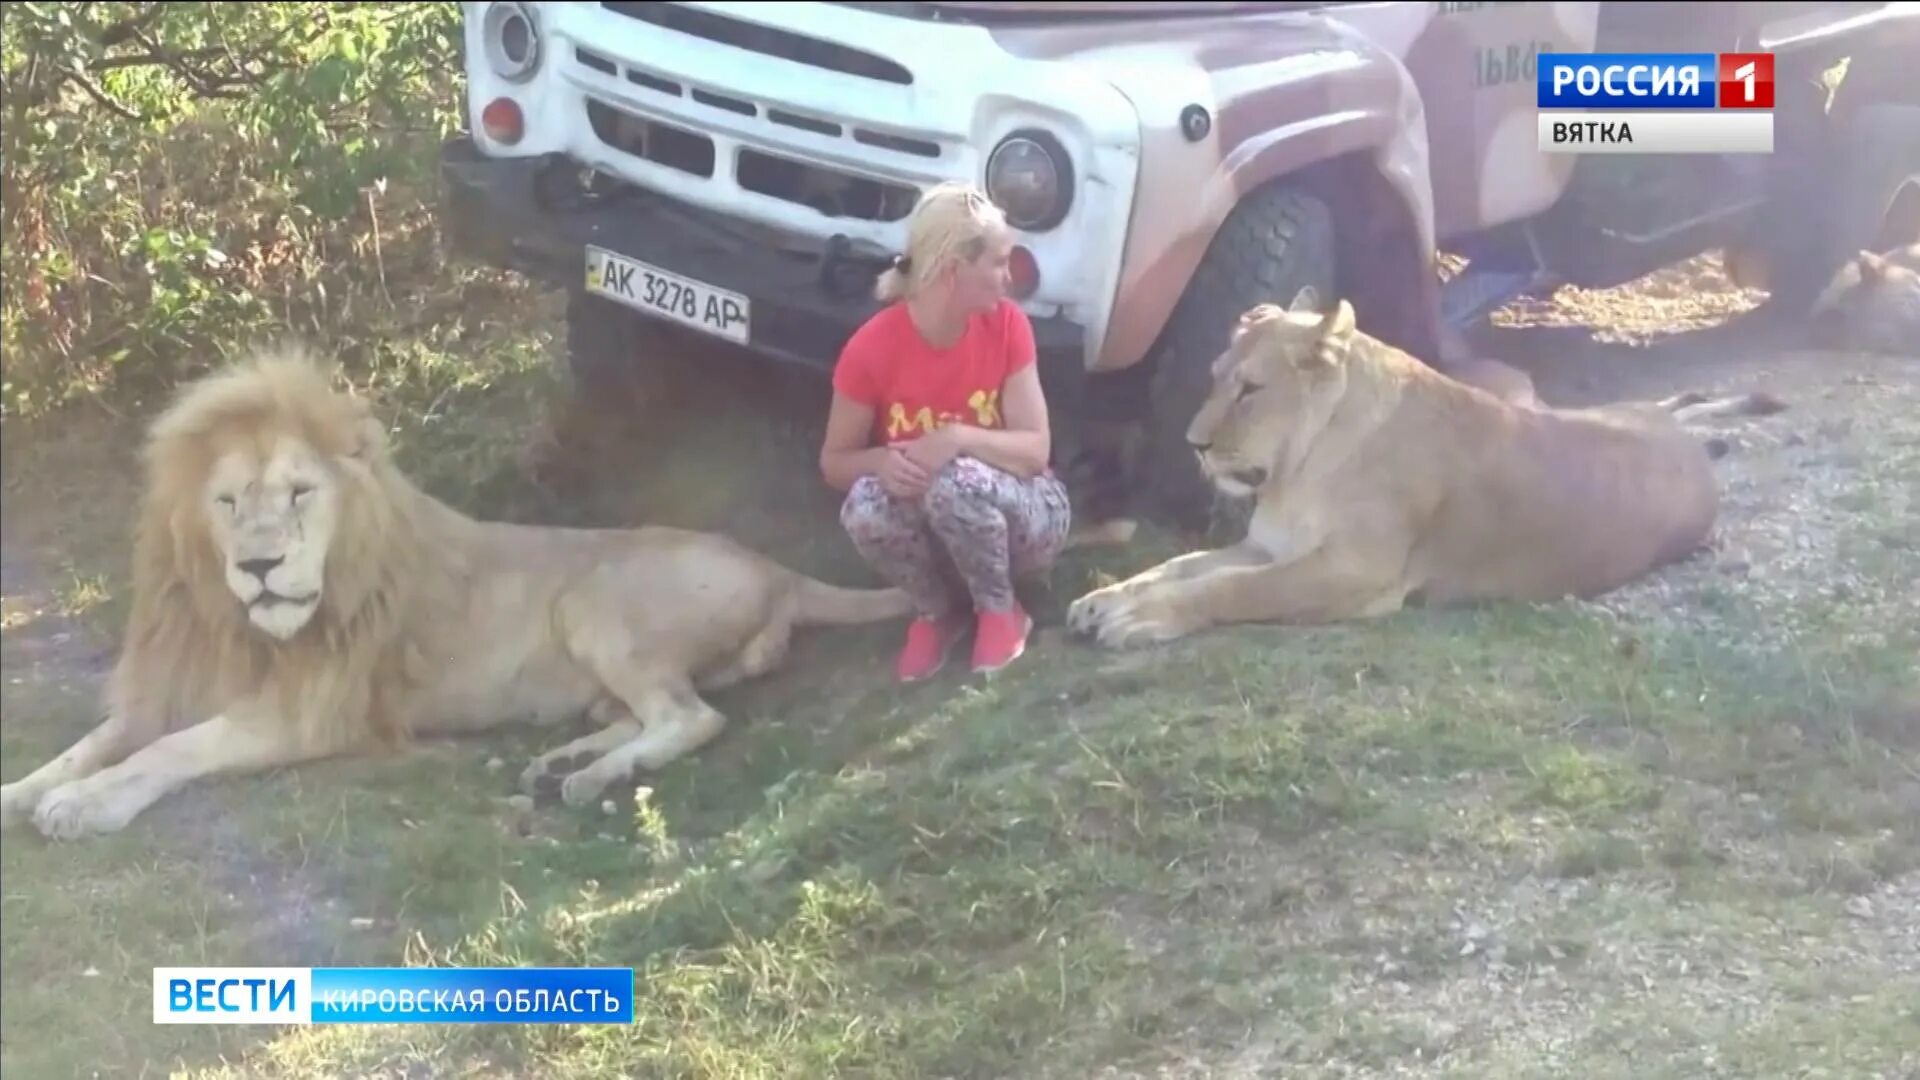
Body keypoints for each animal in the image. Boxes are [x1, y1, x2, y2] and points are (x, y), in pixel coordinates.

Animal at [0, 349, 913, 837]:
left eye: (299, 493)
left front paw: (83, 808)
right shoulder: (171, 685)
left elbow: (168, 752)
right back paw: (562, 762)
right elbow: (96, 742)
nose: (259, 565)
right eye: (226, 502)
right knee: (643, 713)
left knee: (694, 718)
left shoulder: (305, 715)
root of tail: (778, 568)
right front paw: (27, 791)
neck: (234, 624)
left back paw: (588, 779)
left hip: (593, 604)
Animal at [1059, 295, 1774, 645]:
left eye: (1251, 390)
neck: (1299, 469)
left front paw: (1140, 620)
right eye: (1213, 379)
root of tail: (1679, 439)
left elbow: (1231, 590)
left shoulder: (1357, 571)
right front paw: (1108, 599)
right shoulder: (1269, 546)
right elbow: (1180, 566)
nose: (1195, 444)